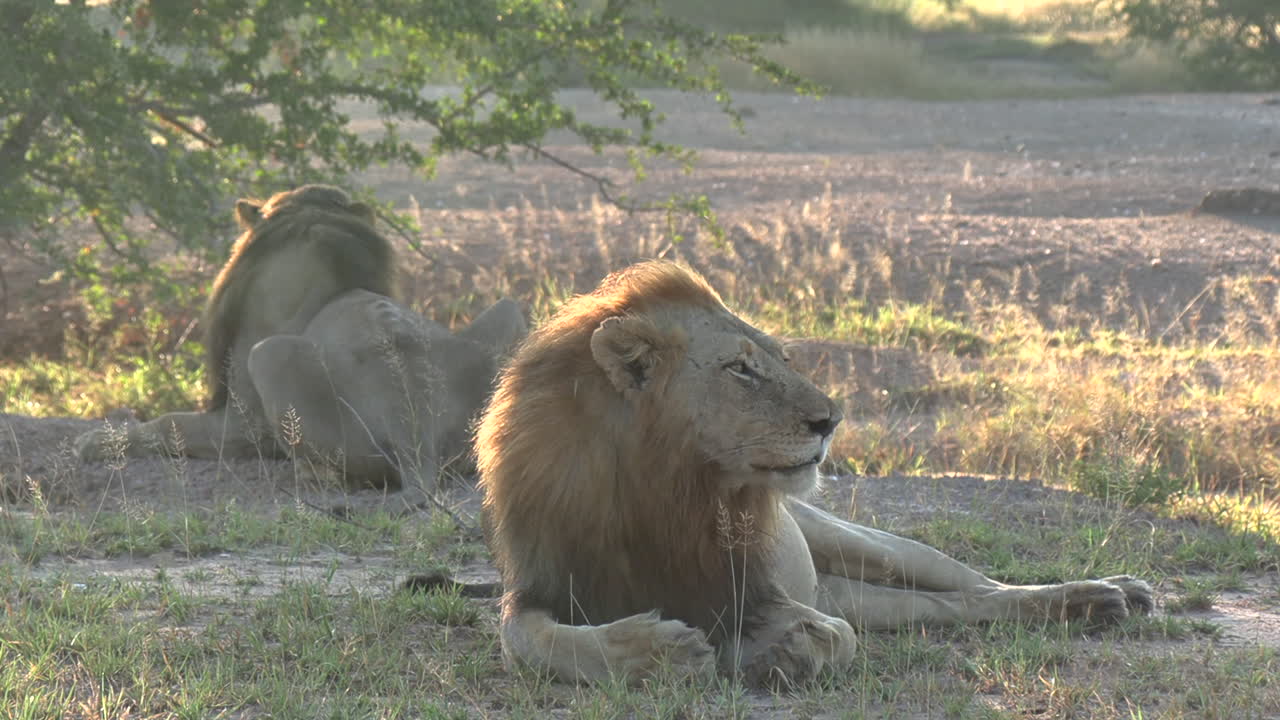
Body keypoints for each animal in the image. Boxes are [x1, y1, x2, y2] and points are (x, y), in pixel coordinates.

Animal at [77, 184, 527, 489]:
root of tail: (414, 431)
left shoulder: (243, 423)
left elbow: (168, 423)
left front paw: (96, 442)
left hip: (265, 357)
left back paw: (311, 472)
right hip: (509, 309)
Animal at [475, 260, 1152, 688]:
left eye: (781, 358)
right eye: (740, 369)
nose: (831, 420)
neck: (665, 482)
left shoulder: (754, 583)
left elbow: (832, 637)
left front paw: (780, 648)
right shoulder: (538, 585)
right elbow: (529, 643)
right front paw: (656, 653)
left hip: (866, 544)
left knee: (981, 587)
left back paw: (1106, 594)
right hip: (866, 594)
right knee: (954, 607)